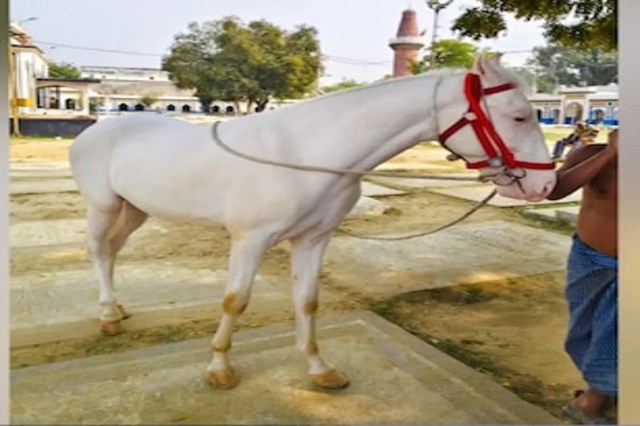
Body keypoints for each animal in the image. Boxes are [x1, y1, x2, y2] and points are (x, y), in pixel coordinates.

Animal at [69, 53, 556, 390]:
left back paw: (116, 309)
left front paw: (320, 369)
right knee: (97, 249)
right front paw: (220, 368)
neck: (306, 152)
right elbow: (235, 302)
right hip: (104, 206)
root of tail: (97, 127)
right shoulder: (249, 240)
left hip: (135, 209)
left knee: (112, 251)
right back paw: (107, 315)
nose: (544, 186)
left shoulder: (314, 239)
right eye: (518, 115)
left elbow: (307, 302)